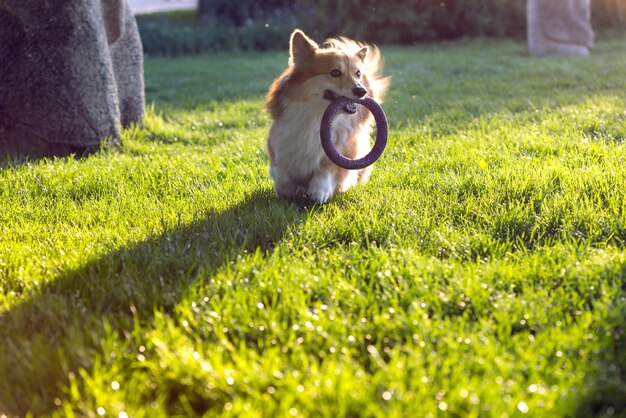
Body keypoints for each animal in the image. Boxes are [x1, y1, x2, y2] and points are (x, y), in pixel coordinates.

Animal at [262, 29, 386, 202]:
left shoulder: (344, 149)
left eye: (357, 74)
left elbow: (328, 170)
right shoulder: (280, 144)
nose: (362, 91)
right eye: (335, 73)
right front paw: (286, 192)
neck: (317, 118)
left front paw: (318, 191)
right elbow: (281, 176)